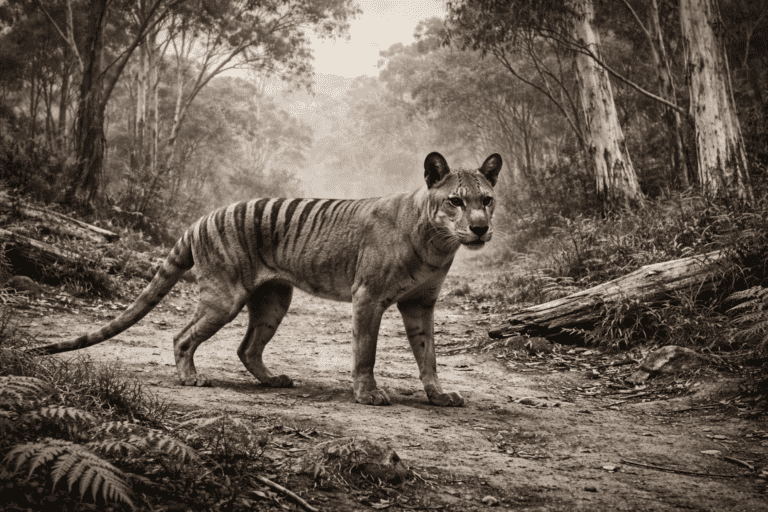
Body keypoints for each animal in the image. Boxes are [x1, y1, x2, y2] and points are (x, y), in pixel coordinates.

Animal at [31, 152, 502, 407]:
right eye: (455, 201)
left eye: (487, 199)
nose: (480, 228)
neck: (437, 242)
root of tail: (201, 217)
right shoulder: (368, 298)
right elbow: (365, 354)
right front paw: (368, 394)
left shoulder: (420, 304)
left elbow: (429, 357)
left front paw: (438, 396)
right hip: (224, 298)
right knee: (183, 336)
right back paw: (191, 378)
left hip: (273, 300)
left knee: (247, 348)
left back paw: (272, 380)